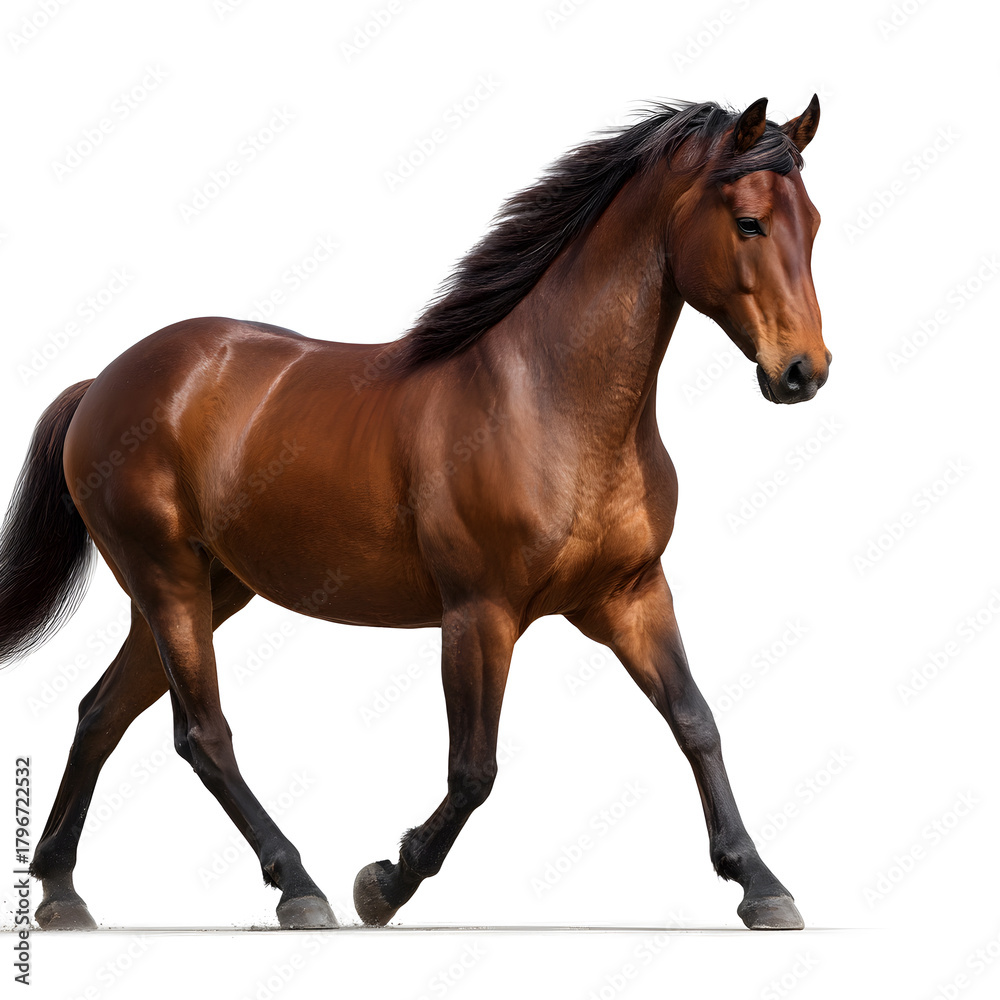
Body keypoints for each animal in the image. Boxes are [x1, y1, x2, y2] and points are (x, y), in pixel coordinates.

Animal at [0, 95, 828, 931]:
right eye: (750, 222)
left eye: (815, 223)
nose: (804, 372)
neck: (549, 401)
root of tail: (103, 382)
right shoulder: (479, 614)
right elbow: (474, 770)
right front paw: (383, 883)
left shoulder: (629, 595)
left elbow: (696, 721)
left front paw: (762, 884)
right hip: (166, 579)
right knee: (201, 733)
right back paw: (300, 887)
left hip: (208, 588)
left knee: (102, 711)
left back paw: (62, 891)